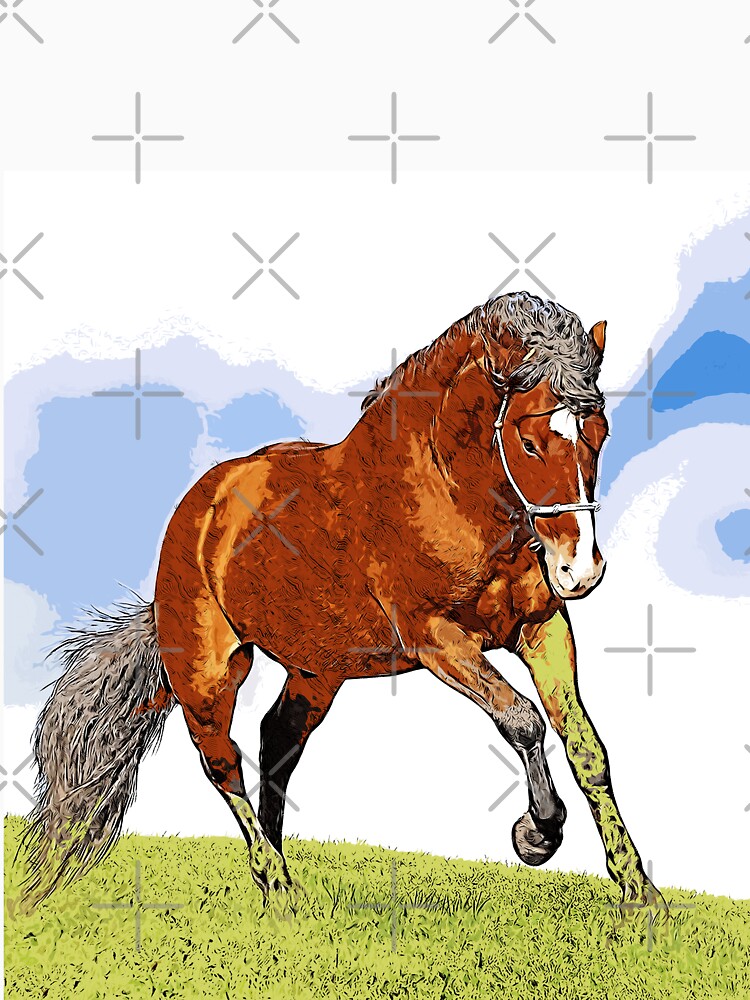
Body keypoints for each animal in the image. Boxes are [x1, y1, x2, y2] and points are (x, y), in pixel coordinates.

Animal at [25, 290, 664, 913]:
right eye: (528, 443)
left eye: (600, 433)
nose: (580, 570)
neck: (450, 493)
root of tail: (198, 509)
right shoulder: (437, 639)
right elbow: (523, 720)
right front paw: (538, 834)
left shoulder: (542, 627)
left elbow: (587, 747)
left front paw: (640, 893)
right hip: (209, 671)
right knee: (222, 761)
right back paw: (277, 884)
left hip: (317, 671)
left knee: (276, 743)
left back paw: (278, 887)